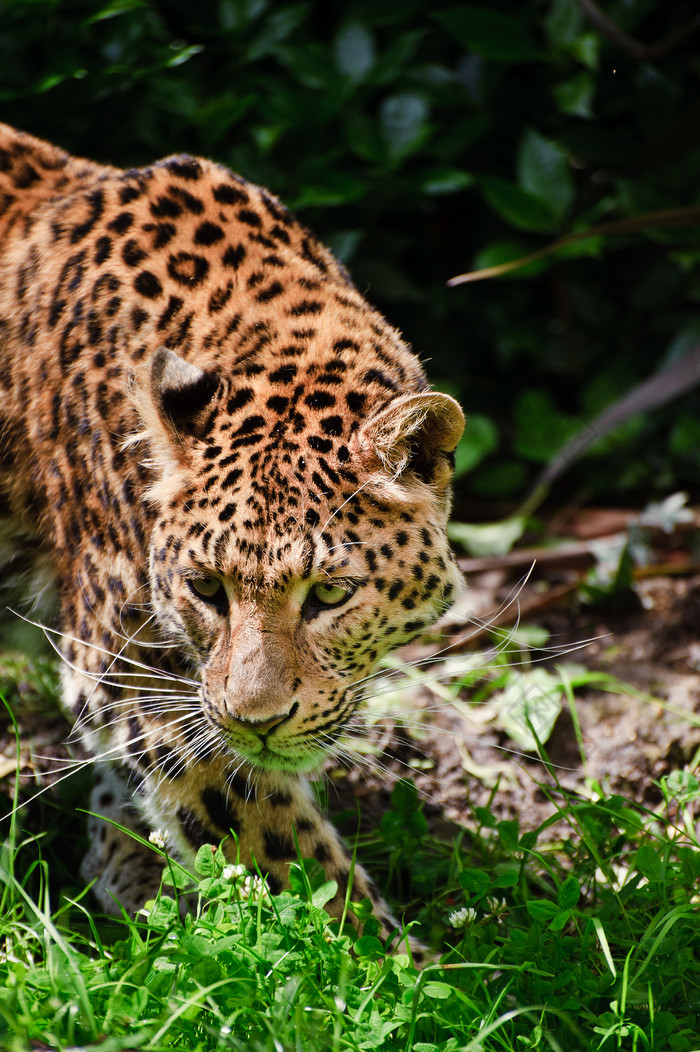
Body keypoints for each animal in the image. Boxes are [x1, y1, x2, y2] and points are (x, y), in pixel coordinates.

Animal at [0, 123, 463, 955]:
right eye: (206, 588)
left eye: (330, 594)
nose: (259, 722)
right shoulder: (130, 664)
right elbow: (283, 851)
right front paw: (393, 968)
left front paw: (128, 865)